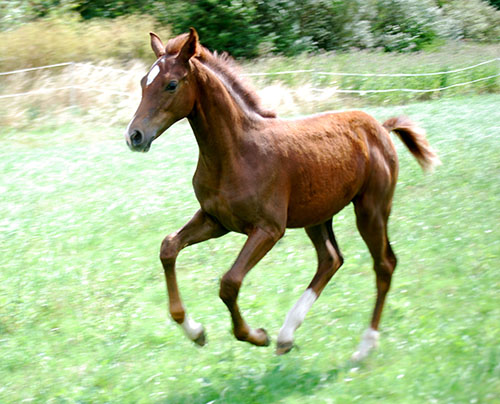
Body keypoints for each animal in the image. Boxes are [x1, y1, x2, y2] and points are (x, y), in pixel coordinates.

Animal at [124, 28, 440, 359]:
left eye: (171, 84)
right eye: (144, 82)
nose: (134, 136)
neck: (235, 152)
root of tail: (381, 127)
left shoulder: (269, 229)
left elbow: (229, 282)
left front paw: (255, 335)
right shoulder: (216, 220)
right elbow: (168, 247)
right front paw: (195, 331)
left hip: (371, 209)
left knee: (384, 264)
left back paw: (364, 347)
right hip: (317, 215)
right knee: (331, 260)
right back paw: (287, 335)